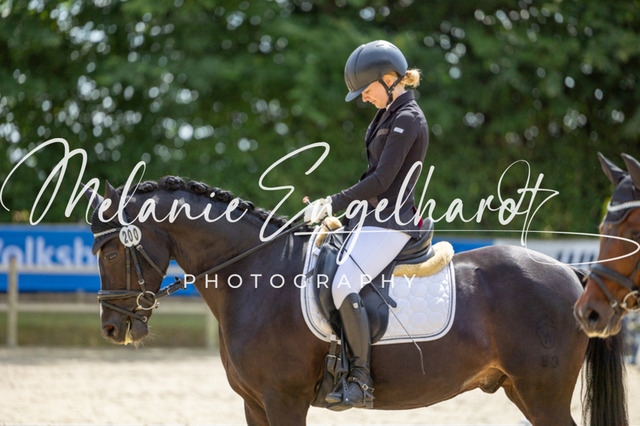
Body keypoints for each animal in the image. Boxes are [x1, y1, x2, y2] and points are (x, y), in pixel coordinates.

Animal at [86, 176, 627, 426]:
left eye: (110, 250)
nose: (111, 329)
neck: (255, 273)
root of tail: (569, 272)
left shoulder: (283, 400)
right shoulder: (254, 404)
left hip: (543, 392)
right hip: (522, 389)